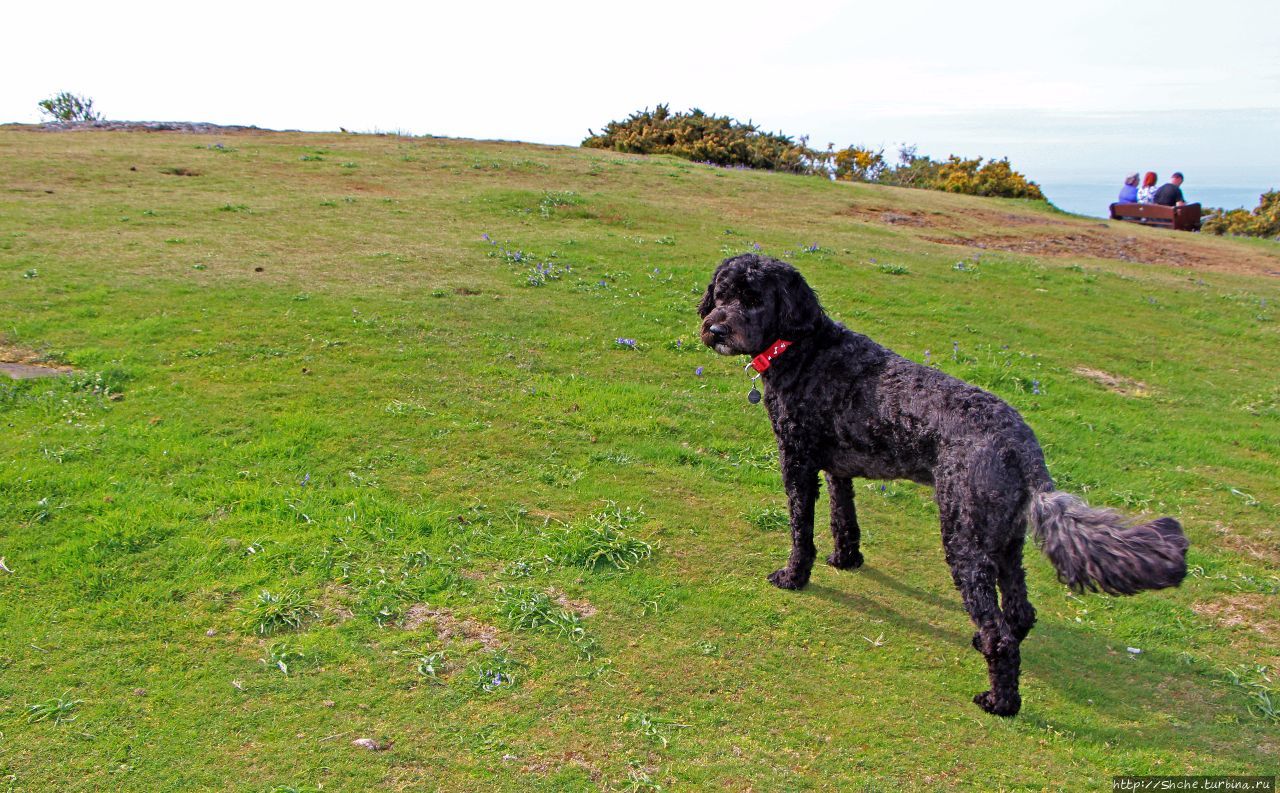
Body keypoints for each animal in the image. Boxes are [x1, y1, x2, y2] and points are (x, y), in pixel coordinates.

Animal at [701, 255, 1187, 716]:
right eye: (722, 293)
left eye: (753, 299)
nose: (716, 327)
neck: (803, 347)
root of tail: (1021, 444)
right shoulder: (839, 467)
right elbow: (844, 517)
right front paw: (847, 559)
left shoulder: (797, 461)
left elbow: (802, 527)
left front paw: (794, 575)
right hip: (1002, 537)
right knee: (1020, 610)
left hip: (963, 535)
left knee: (999, 632)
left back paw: (1000, 702)